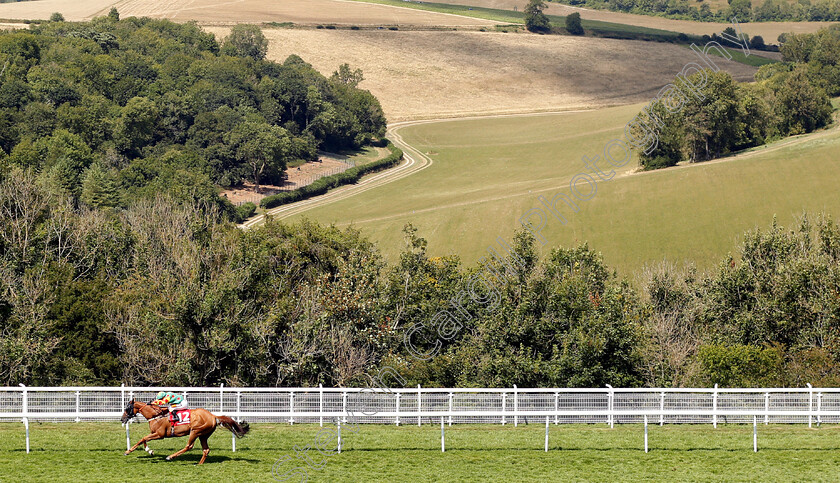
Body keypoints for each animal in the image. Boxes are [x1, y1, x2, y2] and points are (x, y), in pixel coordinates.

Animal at [120, 400, 249, 466]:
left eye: (127, 408)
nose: (122, 419)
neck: (156, 415)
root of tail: (213, 416)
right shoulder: (155, 434)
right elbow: (144, 439)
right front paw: (149, 451)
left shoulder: (160, 435)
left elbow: (142, 438)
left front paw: (128, 451)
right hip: (203, 435)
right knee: (206, 450)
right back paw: (199, 464)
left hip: (195, 431)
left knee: (189, 446)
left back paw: (170, 457)